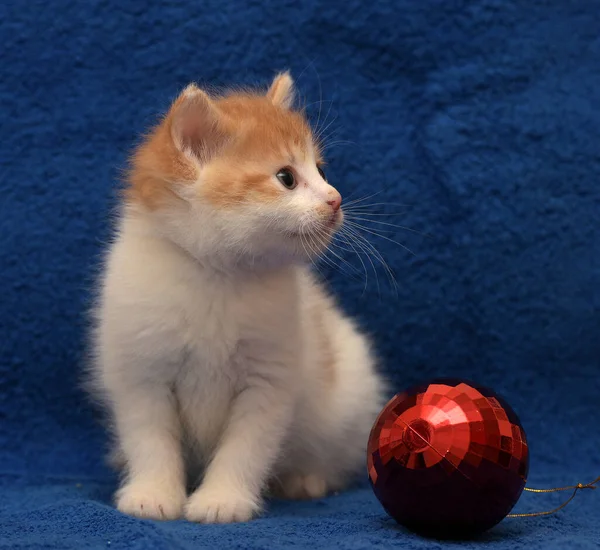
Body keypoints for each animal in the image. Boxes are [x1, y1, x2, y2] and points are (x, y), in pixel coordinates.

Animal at [91, 73, 386, 528]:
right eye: (286, 177)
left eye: (320, 170)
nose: (335, 199)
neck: (219, 275)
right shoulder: (141, 372)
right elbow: (150, 439)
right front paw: (152, 494)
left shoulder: (269, 381)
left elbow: (245, 448)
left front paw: (221, 500)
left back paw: (306, 479)